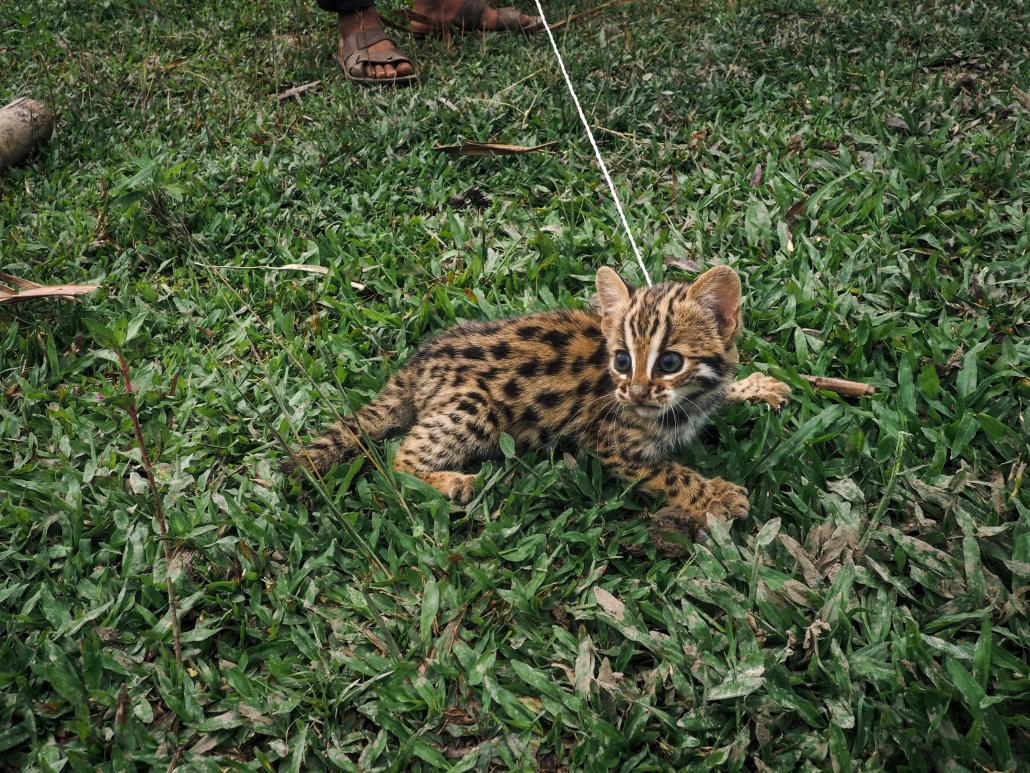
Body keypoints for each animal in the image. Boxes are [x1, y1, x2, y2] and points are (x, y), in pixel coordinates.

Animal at [286, 265, 791, 531]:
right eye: (622, 360)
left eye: (669, 362)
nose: (635, 392)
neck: (685, 402)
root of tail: (413, 367)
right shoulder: (610, 442)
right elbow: (671, 473)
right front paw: (715, 494)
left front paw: (754, 387)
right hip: (476, 407)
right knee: (398, 458)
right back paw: (447, 482)